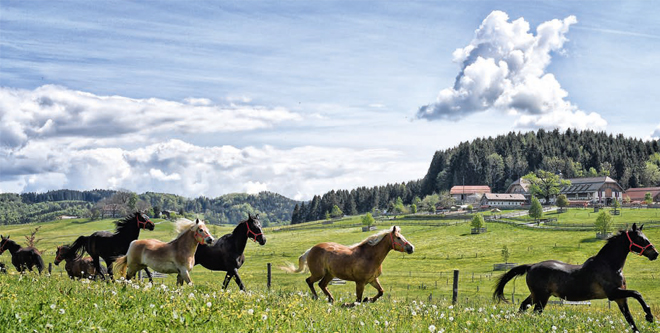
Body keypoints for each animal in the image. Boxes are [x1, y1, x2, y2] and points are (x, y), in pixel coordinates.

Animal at [282, 226, 416, 304]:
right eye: (398, 237)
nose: (411, 248)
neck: (369, 256)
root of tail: (311, 249)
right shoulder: (360, 282)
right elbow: (358, 300)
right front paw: (350, 304)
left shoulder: (372, 280)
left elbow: (381, 291)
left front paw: (369, 299)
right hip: (318, 273)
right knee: (309, 281)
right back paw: (316, 298)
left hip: (330, 274)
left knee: (322, 284)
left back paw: (331, 299)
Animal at [492, 223, 656, 332]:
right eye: (641, 239)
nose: (655, 254)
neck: (610, 265)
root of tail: (532, 266)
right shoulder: (613, 293)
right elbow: (637, 294)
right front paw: (649, 316)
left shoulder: (620, 298)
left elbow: (630, 319)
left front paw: (647, 318)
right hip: (541, 297)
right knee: (534, 313)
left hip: (535, 295)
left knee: (523, 306)